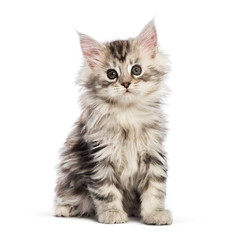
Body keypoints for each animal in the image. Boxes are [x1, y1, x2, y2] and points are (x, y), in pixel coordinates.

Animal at [54, 21, 172, 225]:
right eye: (111, 74)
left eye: (136, 70)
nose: (125, 84)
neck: (127, 113)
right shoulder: (98, 157)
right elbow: (106, 191)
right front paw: (112, 213)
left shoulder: (153, 154)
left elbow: (155, 189)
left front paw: (155, 214)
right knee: (72, 198)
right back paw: (64, 209)